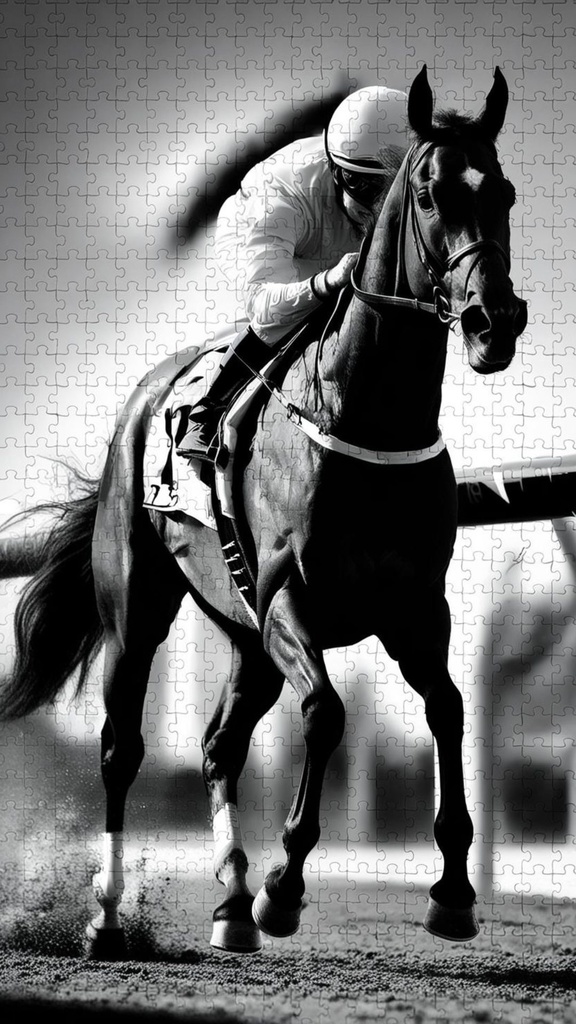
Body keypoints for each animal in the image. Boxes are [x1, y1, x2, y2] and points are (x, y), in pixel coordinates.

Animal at [0, 66, 527, 959]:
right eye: (428, 194)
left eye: (506, 193)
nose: (497, 321)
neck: (366, 417)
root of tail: (138, 403)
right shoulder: (290, 601)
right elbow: (327, 712)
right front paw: (286, 887)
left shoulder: (418, 608)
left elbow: (449, 709)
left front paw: (453, 894)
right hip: (139, 613)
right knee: (121, 748)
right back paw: (109, 917)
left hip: (245, 637)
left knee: (220, 747)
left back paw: (230, 905)